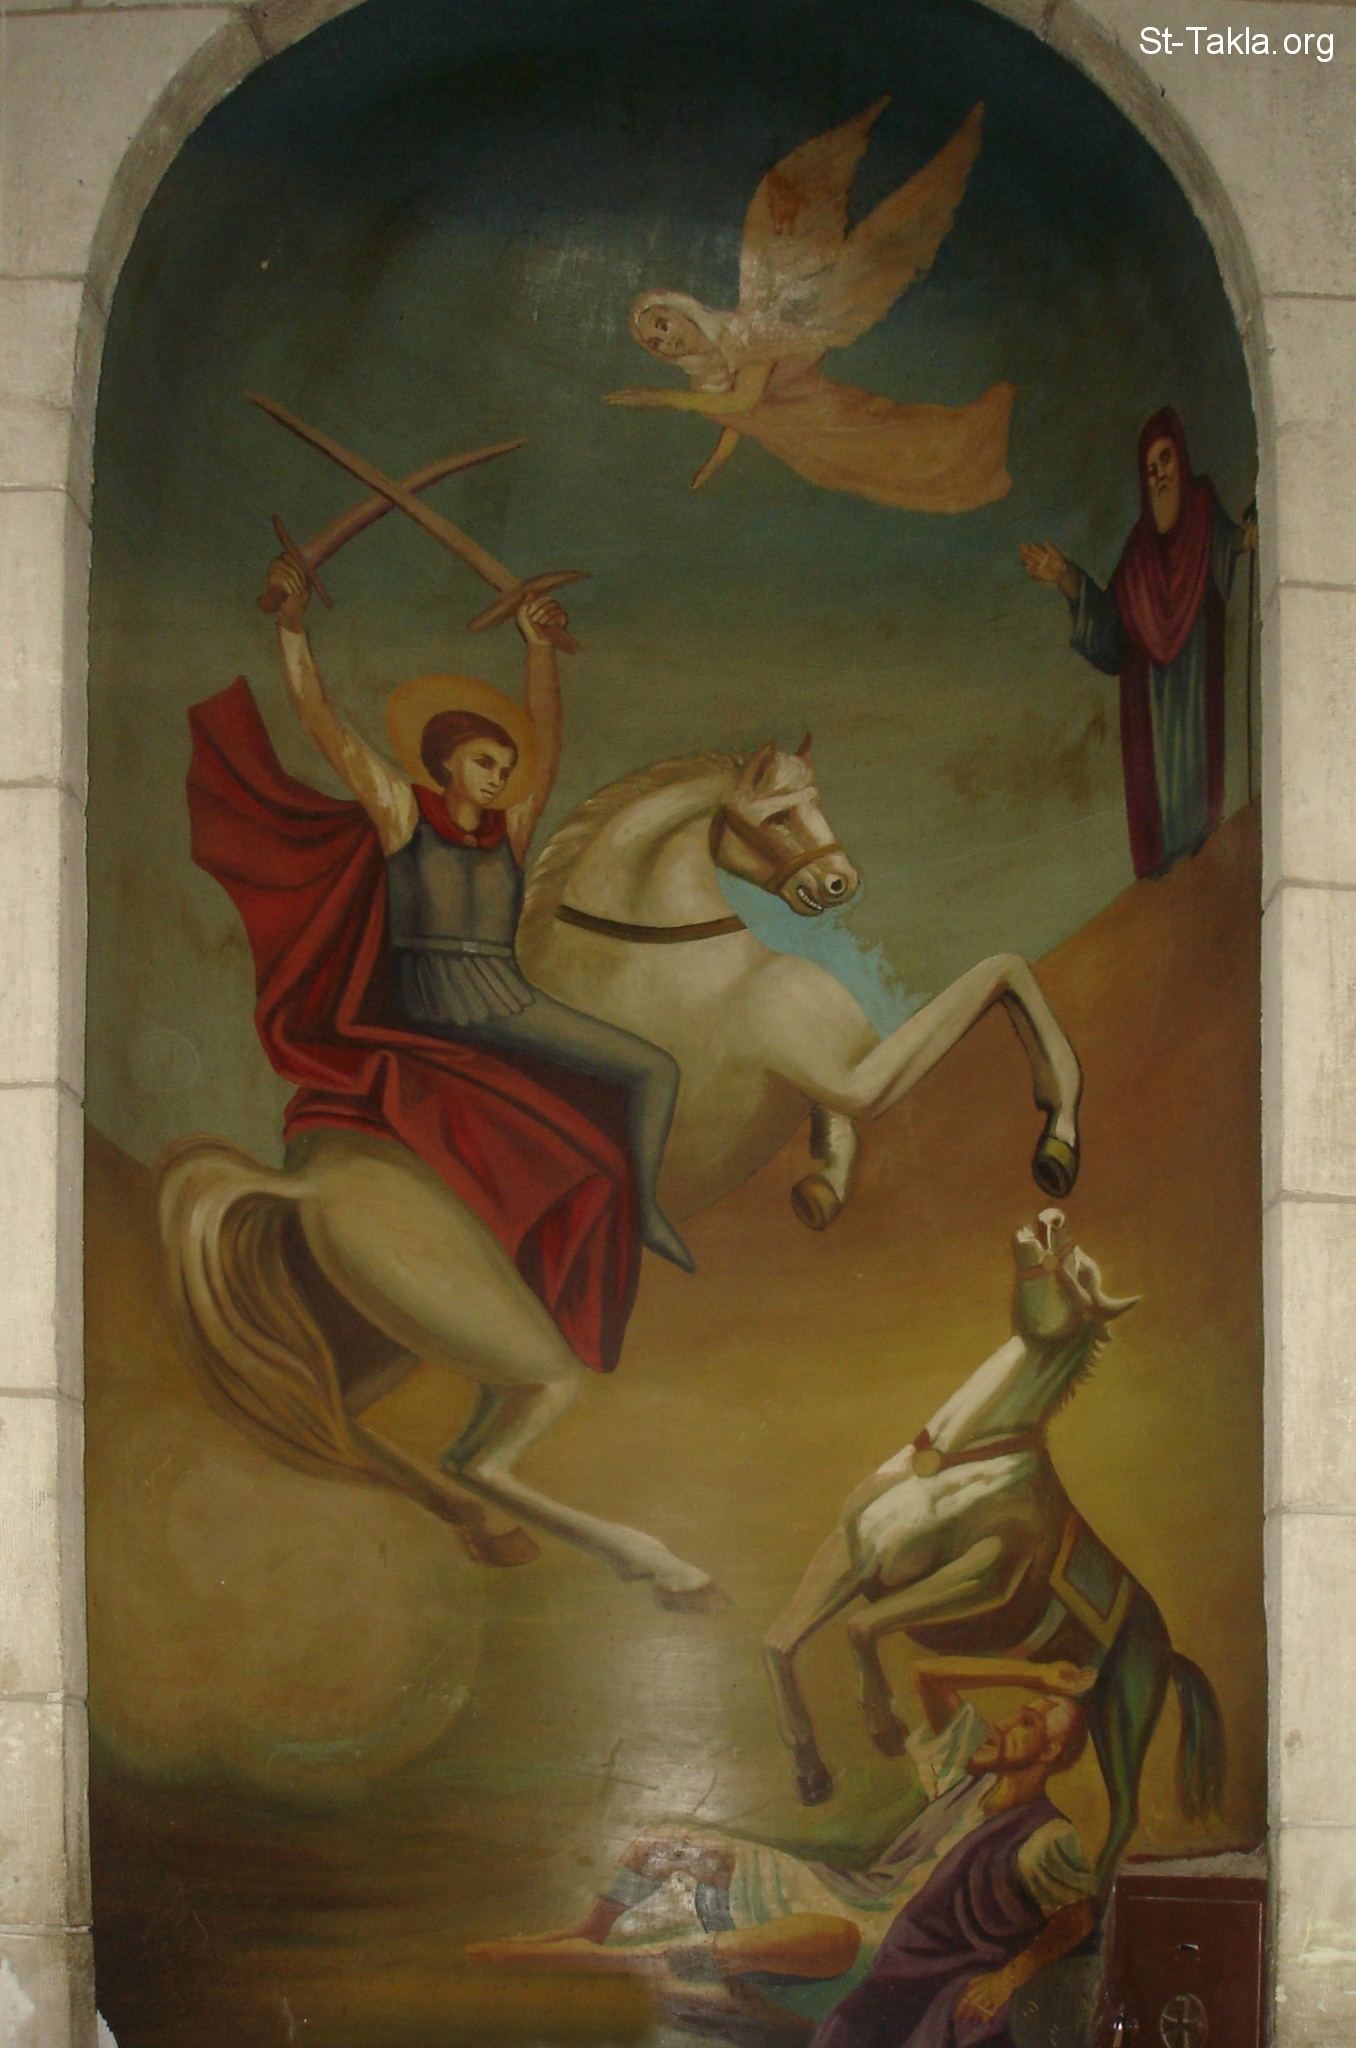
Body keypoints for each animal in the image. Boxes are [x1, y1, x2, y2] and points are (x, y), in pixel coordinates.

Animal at [159, 739, 1083, 1612]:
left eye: (813, 800)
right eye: (780, 813)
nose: (837, 881)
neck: (671, 954)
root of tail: (307, 1187)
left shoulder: (835, 1077)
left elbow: (842, 1120)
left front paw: (820, 1190)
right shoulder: (856, 1072)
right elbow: (1002, 972)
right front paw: (1058, 1138)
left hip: (391, 1341)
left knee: (349, 1427)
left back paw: (489, 1534)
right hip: (528, 1353)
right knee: (473, 1460)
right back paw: (668, 1568)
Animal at [762, 1209, 1224, 1890]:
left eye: (1081, 1271)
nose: (1049, 1220)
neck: (953, 1461)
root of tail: (1169, 1651)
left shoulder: (982, 1576)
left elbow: (861, 1627)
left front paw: (885, 1726)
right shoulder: (847, 1558)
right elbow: (781, 1643)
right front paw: (812, 1774)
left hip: (1122, 1719)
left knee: (1125, 1817)